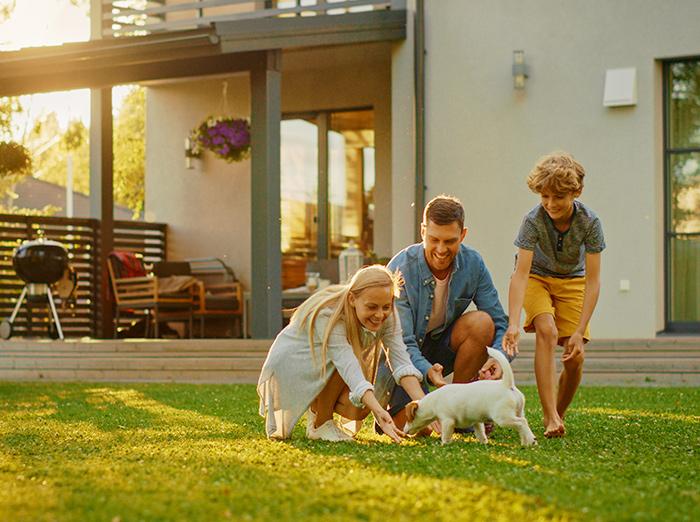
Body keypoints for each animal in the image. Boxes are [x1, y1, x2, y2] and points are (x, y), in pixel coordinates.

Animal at [402, 346, 540, 442]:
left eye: (408, 418)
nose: (403, 432)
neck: (433, 402)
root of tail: (507, 384)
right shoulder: (477, 422)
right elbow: (480, 433)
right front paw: (484, 443)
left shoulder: (447, 421)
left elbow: (446, 435)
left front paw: (444, 444)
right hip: (518, 411)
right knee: (523, 424)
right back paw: (528, 441)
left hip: (503, 417)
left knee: (521, 422)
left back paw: (530, 441)